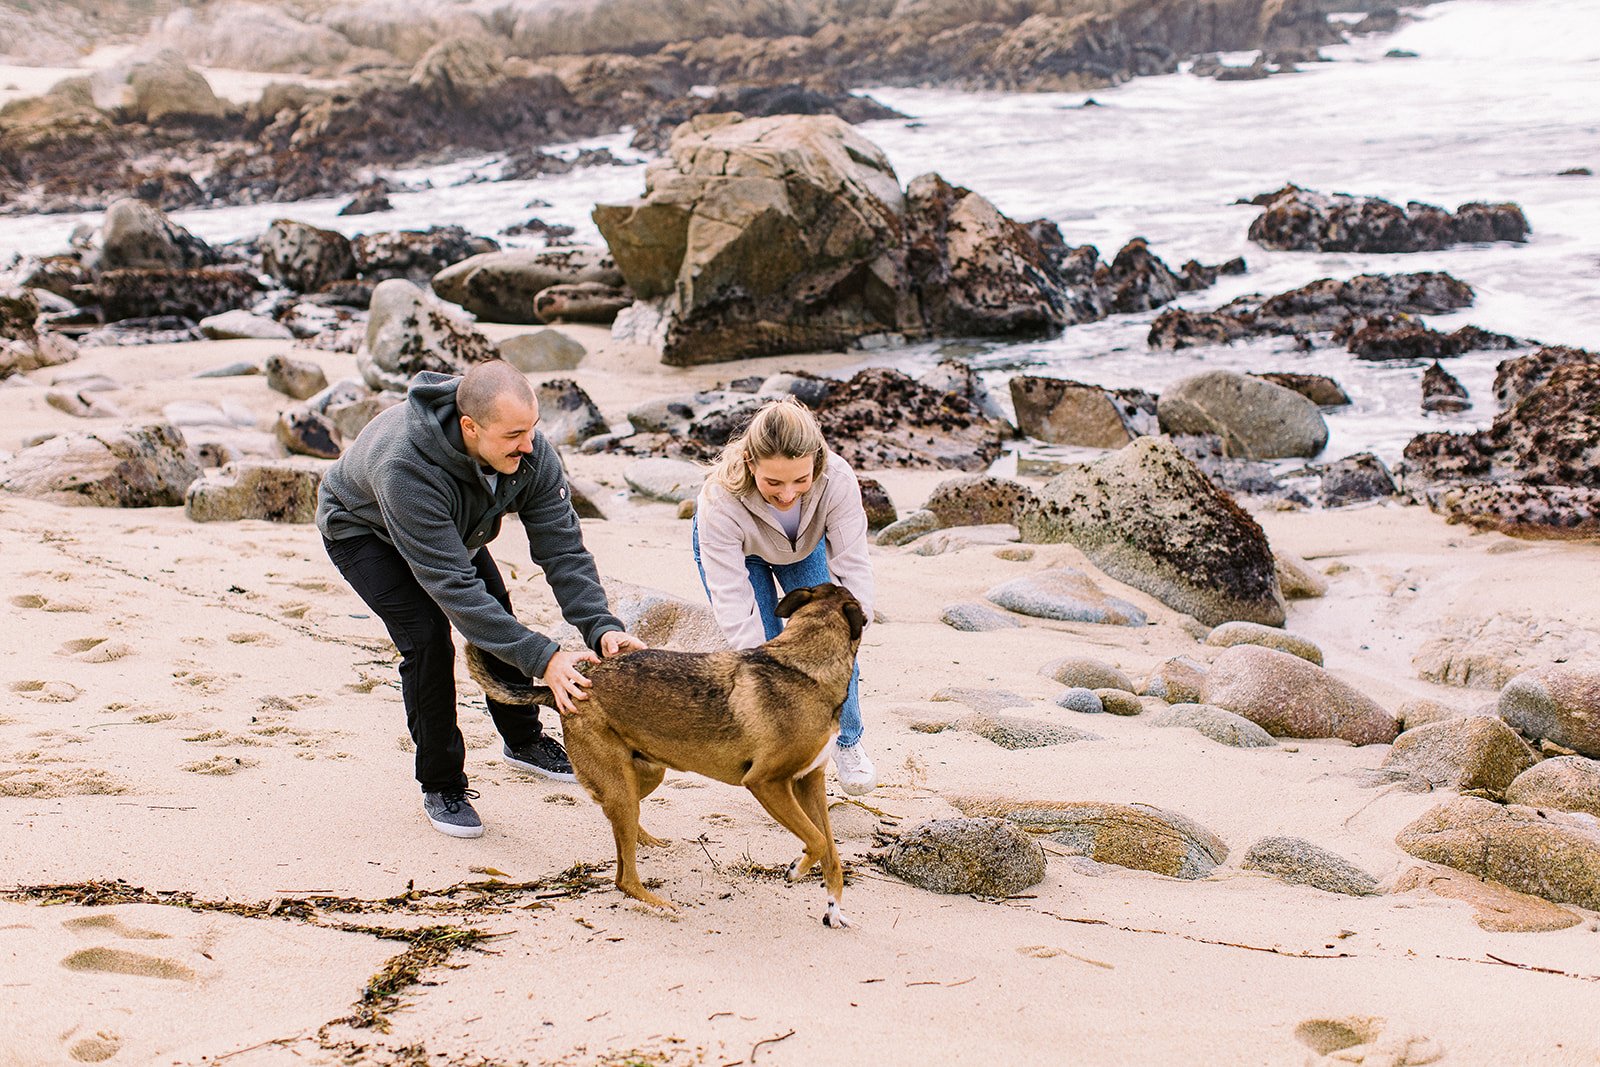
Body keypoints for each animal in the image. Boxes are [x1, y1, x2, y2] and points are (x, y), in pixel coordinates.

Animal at [467, 585, 870, 927]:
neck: (804, 665)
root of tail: (569, 688)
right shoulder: (767, 783)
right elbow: (818, 841)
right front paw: (798, 869)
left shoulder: (808, 782)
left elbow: (831, 851)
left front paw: (834, 906)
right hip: (623, 787)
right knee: (623, 877)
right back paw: (657, 902)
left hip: (642, 777)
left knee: (619, 818)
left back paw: (645, 840)